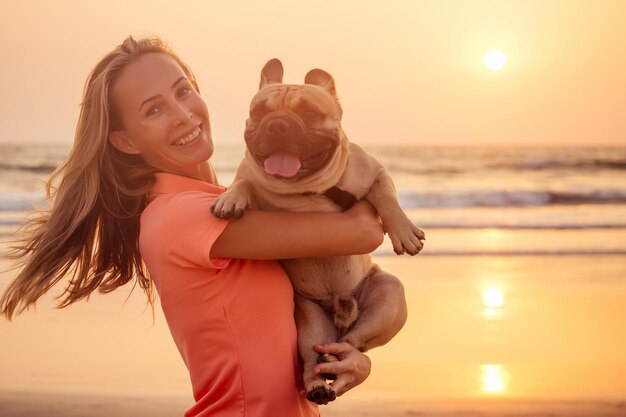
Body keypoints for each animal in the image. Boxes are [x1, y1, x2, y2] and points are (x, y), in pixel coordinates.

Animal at [211, 58, 424, 404]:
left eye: (310, 113)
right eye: (259, 112)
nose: (278, 124)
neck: (305, 189)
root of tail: (340, 315)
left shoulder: (375, 171)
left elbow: (385, 196)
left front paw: (403, 230)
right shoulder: (251, 179)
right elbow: (244, 181)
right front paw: (230, 198)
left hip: (389, 296)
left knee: (355, 342)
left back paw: (338, 350)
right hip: (310, 322)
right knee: (315, 358)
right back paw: (318, 383)